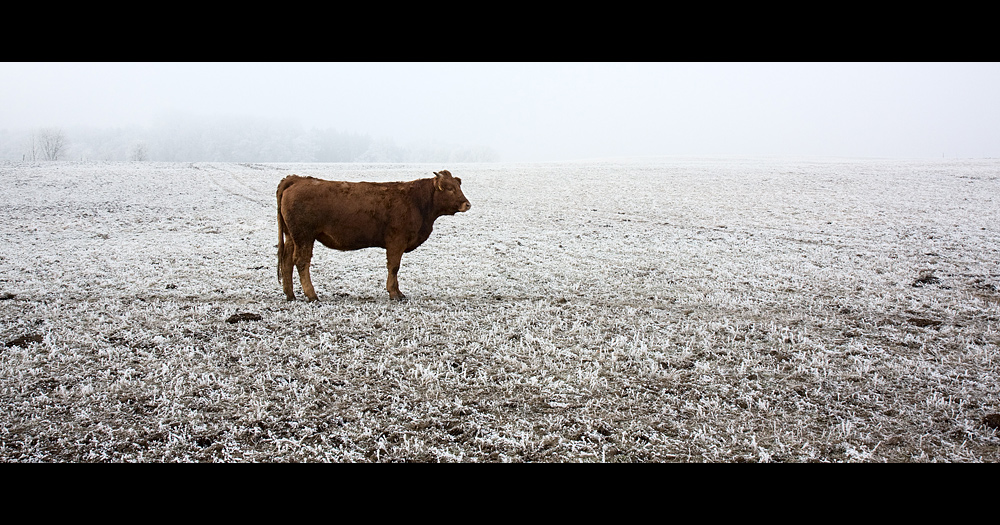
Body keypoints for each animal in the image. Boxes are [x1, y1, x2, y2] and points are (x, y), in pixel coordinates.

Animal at [278, 170, 472, 300]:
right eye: (449, 188)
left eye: (458, 186)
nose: (467, 204)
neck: (416, 201)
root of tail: (296, 179)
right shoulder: (396, 241)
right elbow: (394, 267)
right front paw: (394, 293)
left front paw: (398, 292)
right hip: (304, 236)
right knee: (301, 262)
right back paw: (311, 295)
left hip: (291, 237)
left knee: (286, 261)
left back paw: (290, 294)